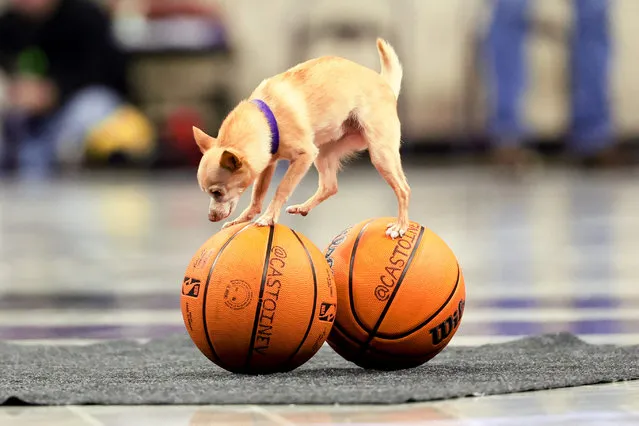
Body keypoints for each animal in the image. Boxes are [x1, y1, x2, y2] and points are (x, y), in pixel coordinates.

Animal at [194, 38, 410, 238]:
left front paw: (268, 217)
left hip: (380, 154)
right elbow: (257, 194)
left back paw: (400, 226)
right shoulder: (269, 163)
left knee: (403, 189)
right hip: (324, 154)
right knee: (330, 187)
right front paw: (243, 219)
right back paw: (304, 207)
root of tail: (385, 83)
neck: (266, 116)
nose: (210, 217)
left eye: (217, 192)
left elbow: (282, 188)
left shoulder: (303, 156)